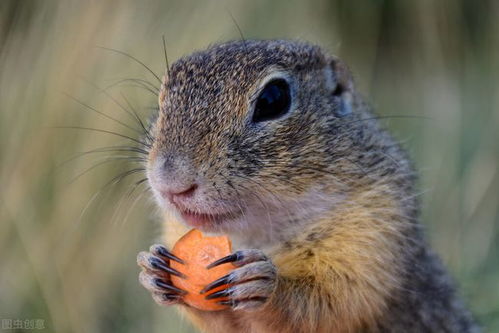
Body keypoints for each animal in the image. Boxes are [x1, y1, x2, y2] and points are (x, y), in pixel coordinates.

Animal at [136, 39, 476, 332]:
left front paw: (263, 283)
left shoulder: (373, 234)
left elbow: (331, 303)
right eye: (163, 97)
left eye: (273, 99)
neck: (258, 233)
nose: (171, 183)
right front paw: (152, 268)